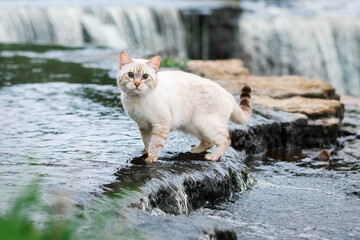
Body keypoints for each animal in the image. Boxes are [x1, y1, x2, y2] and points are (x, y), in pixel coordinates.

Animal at [116, 50, 252, 163]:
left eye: (145, 77)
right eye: (130, 75)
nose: (137, 84)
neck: (137, 99)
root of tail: (228, 94)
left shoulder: (160, 124)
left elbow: (155, 143)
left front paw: (151, 159)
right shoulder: (143, 125)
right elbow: (147, 141)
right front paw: (146, 152)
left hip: (205, 124)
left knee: (225, 140)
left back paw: (212, 157)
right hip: (194, 126)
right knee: (208, 141)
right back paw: (194, 150)